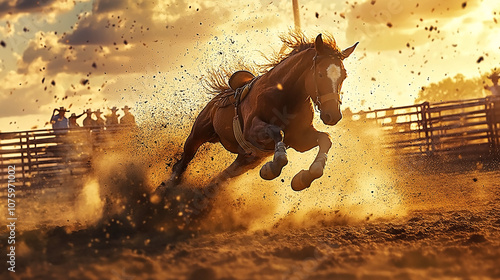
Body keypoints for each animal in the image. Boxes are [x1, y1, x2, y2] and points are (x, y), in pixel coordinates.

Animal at [155, 33, 356, 197]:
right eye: (320, 74)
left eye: (344, 76)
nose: (333, 115)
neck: (286, 95)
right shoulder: (252, 131)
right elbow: (277, 132)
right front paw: (272, 168)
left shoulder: (299, 139)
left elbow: (325, 140)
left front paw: (304, 178)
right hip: (198, 134)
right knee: (183, 161)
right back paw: (165, 190)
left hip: (247, 159)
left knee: (224, 175)